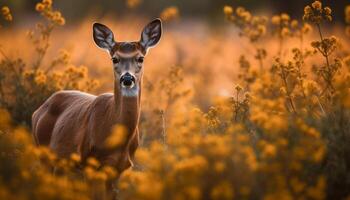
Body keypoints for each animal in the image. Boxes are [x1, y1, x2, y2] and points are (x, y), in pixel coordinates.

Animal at [31, 18, 163, 197]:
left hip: (62, 163)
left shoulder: (119, 169)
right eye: (114, 59)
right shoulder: (89, 162)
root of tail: (38, 110)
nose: (127, 78)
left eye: (140, 58)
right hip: (42, 151)